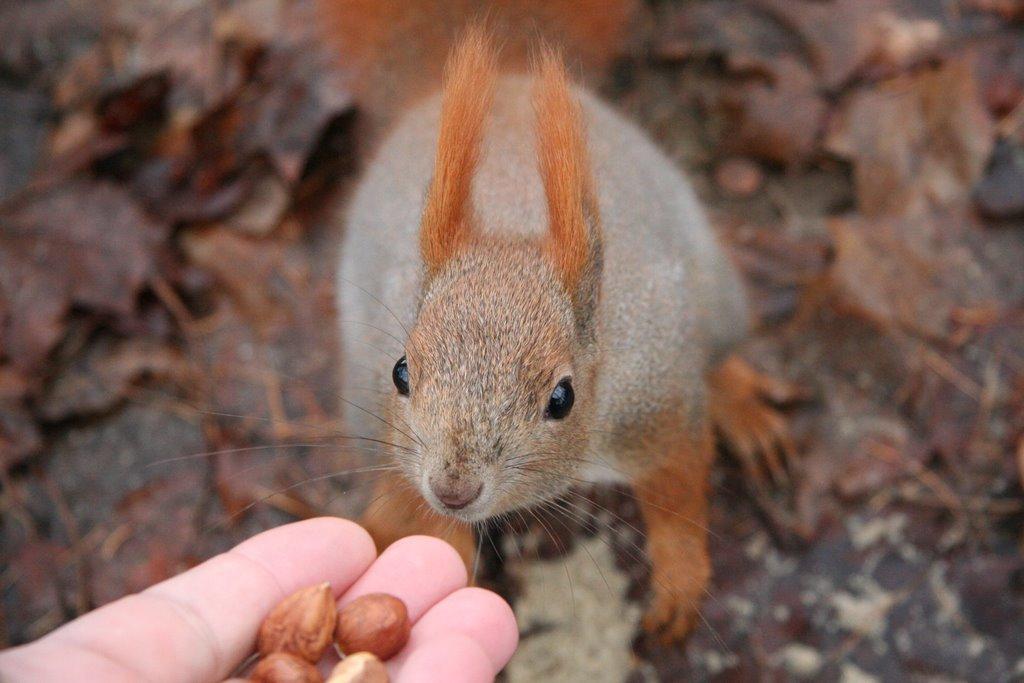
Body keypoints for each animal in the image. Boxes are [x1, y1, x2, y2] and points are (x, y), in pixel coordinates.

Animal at [319, 1, 790, 643]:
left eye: (561, 398)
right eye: (401, 372)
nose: (453, 489)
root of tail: (512, 80)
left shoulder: (656, 402)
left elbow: (679, 491)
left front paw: (679, 580)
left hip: (716, 295)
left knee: (716, 358)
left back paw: (742, 406)